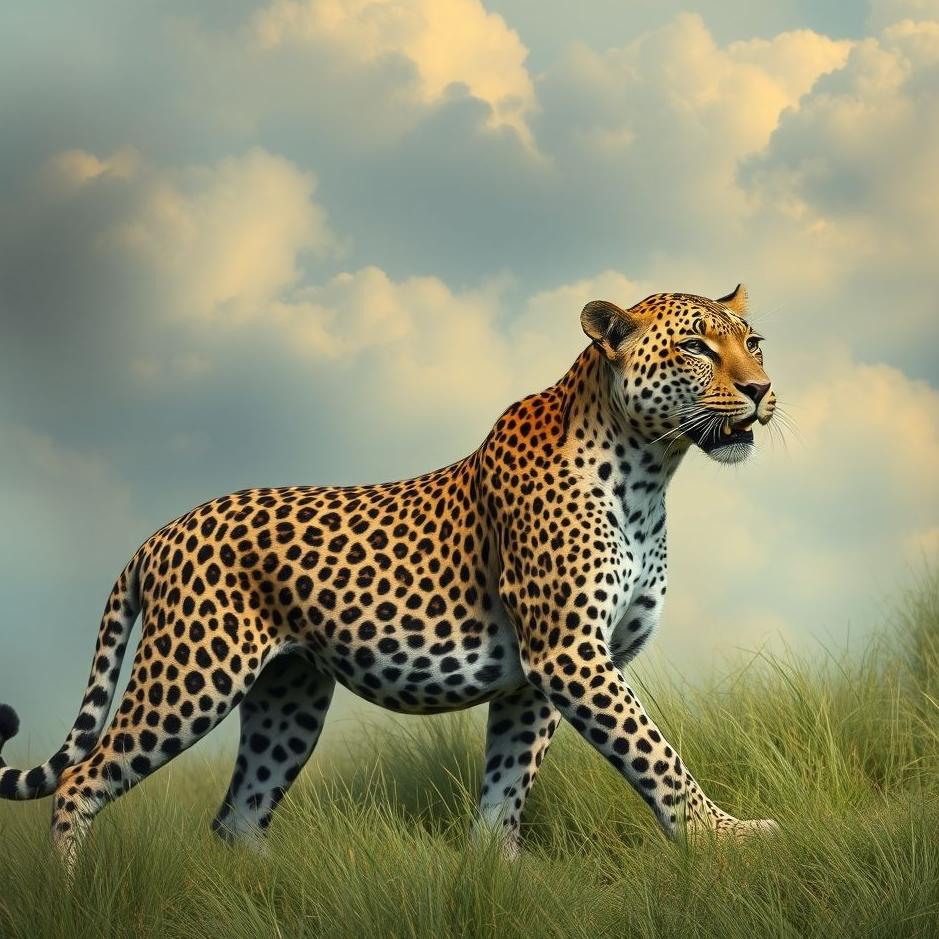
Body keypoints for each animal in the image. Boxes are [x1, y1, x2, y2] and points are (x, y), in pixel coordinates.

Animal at [0, 283, 779, 872]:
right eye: (695, 347)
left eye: (755, 341)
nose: (761, 389)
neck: (648, 471)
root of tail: (160, 533)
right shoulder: (568, 654)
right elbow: (654, 753)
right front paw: (726, 839)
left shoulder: (533, 679)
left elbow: (507, 783)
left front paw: (496, 877)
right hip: (191, 672)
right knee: (80, 780)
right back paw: (74, 898)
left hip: (290, 699)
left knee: (237, 815)